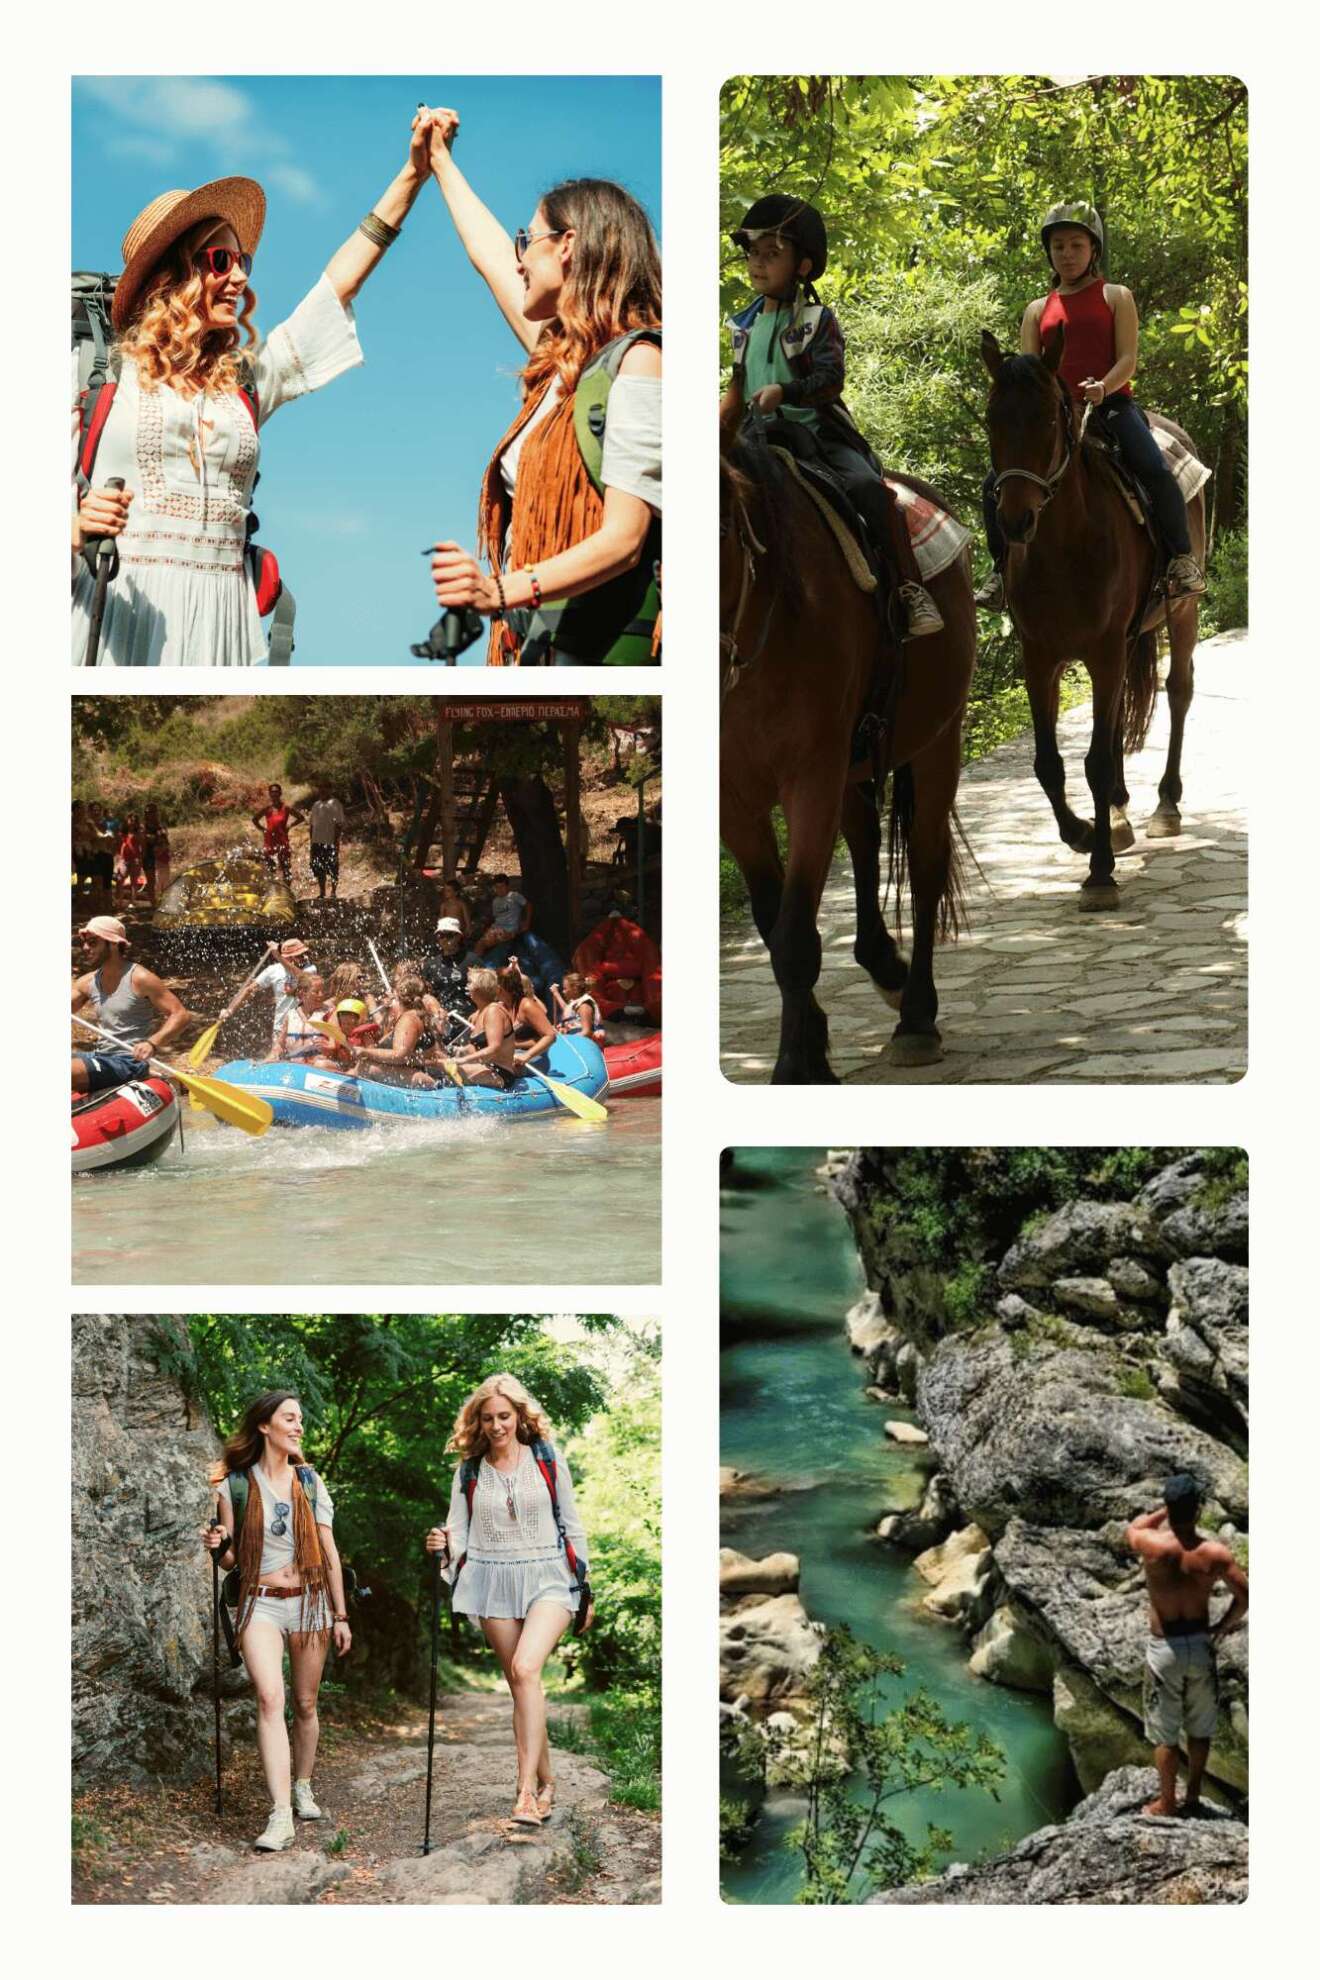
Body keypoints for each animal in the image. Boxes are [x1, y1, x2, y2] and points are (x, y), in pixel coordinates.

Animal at [724, 405, 981, 1085]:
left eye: (726, 528)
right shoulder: (734, 800)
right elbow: (772, 921)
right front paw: (811, 1042)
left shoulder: (809, 777)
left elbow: (793, 936)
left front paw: (796, 1064)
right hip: (855, 759)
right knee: (864, 840)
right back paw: (882, 962)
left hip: (936, 739)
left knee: (924, 861)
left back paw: (916, 1016)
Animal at [981, 326, 1211, 910]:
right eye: (993, 420)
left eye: (1048, 417)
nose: (1015, 520)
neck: (1063, 547)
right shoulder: (1040, 658)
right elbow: (1050, 763)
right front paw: (1085, 833)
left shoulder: (1104, 649)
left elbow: (1096, 762)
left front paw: (1101, 871)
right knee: (1122, 715)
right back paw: (1119, 813)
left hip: (1182, 612)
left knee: (1177, 691)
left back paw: (1164, 805)